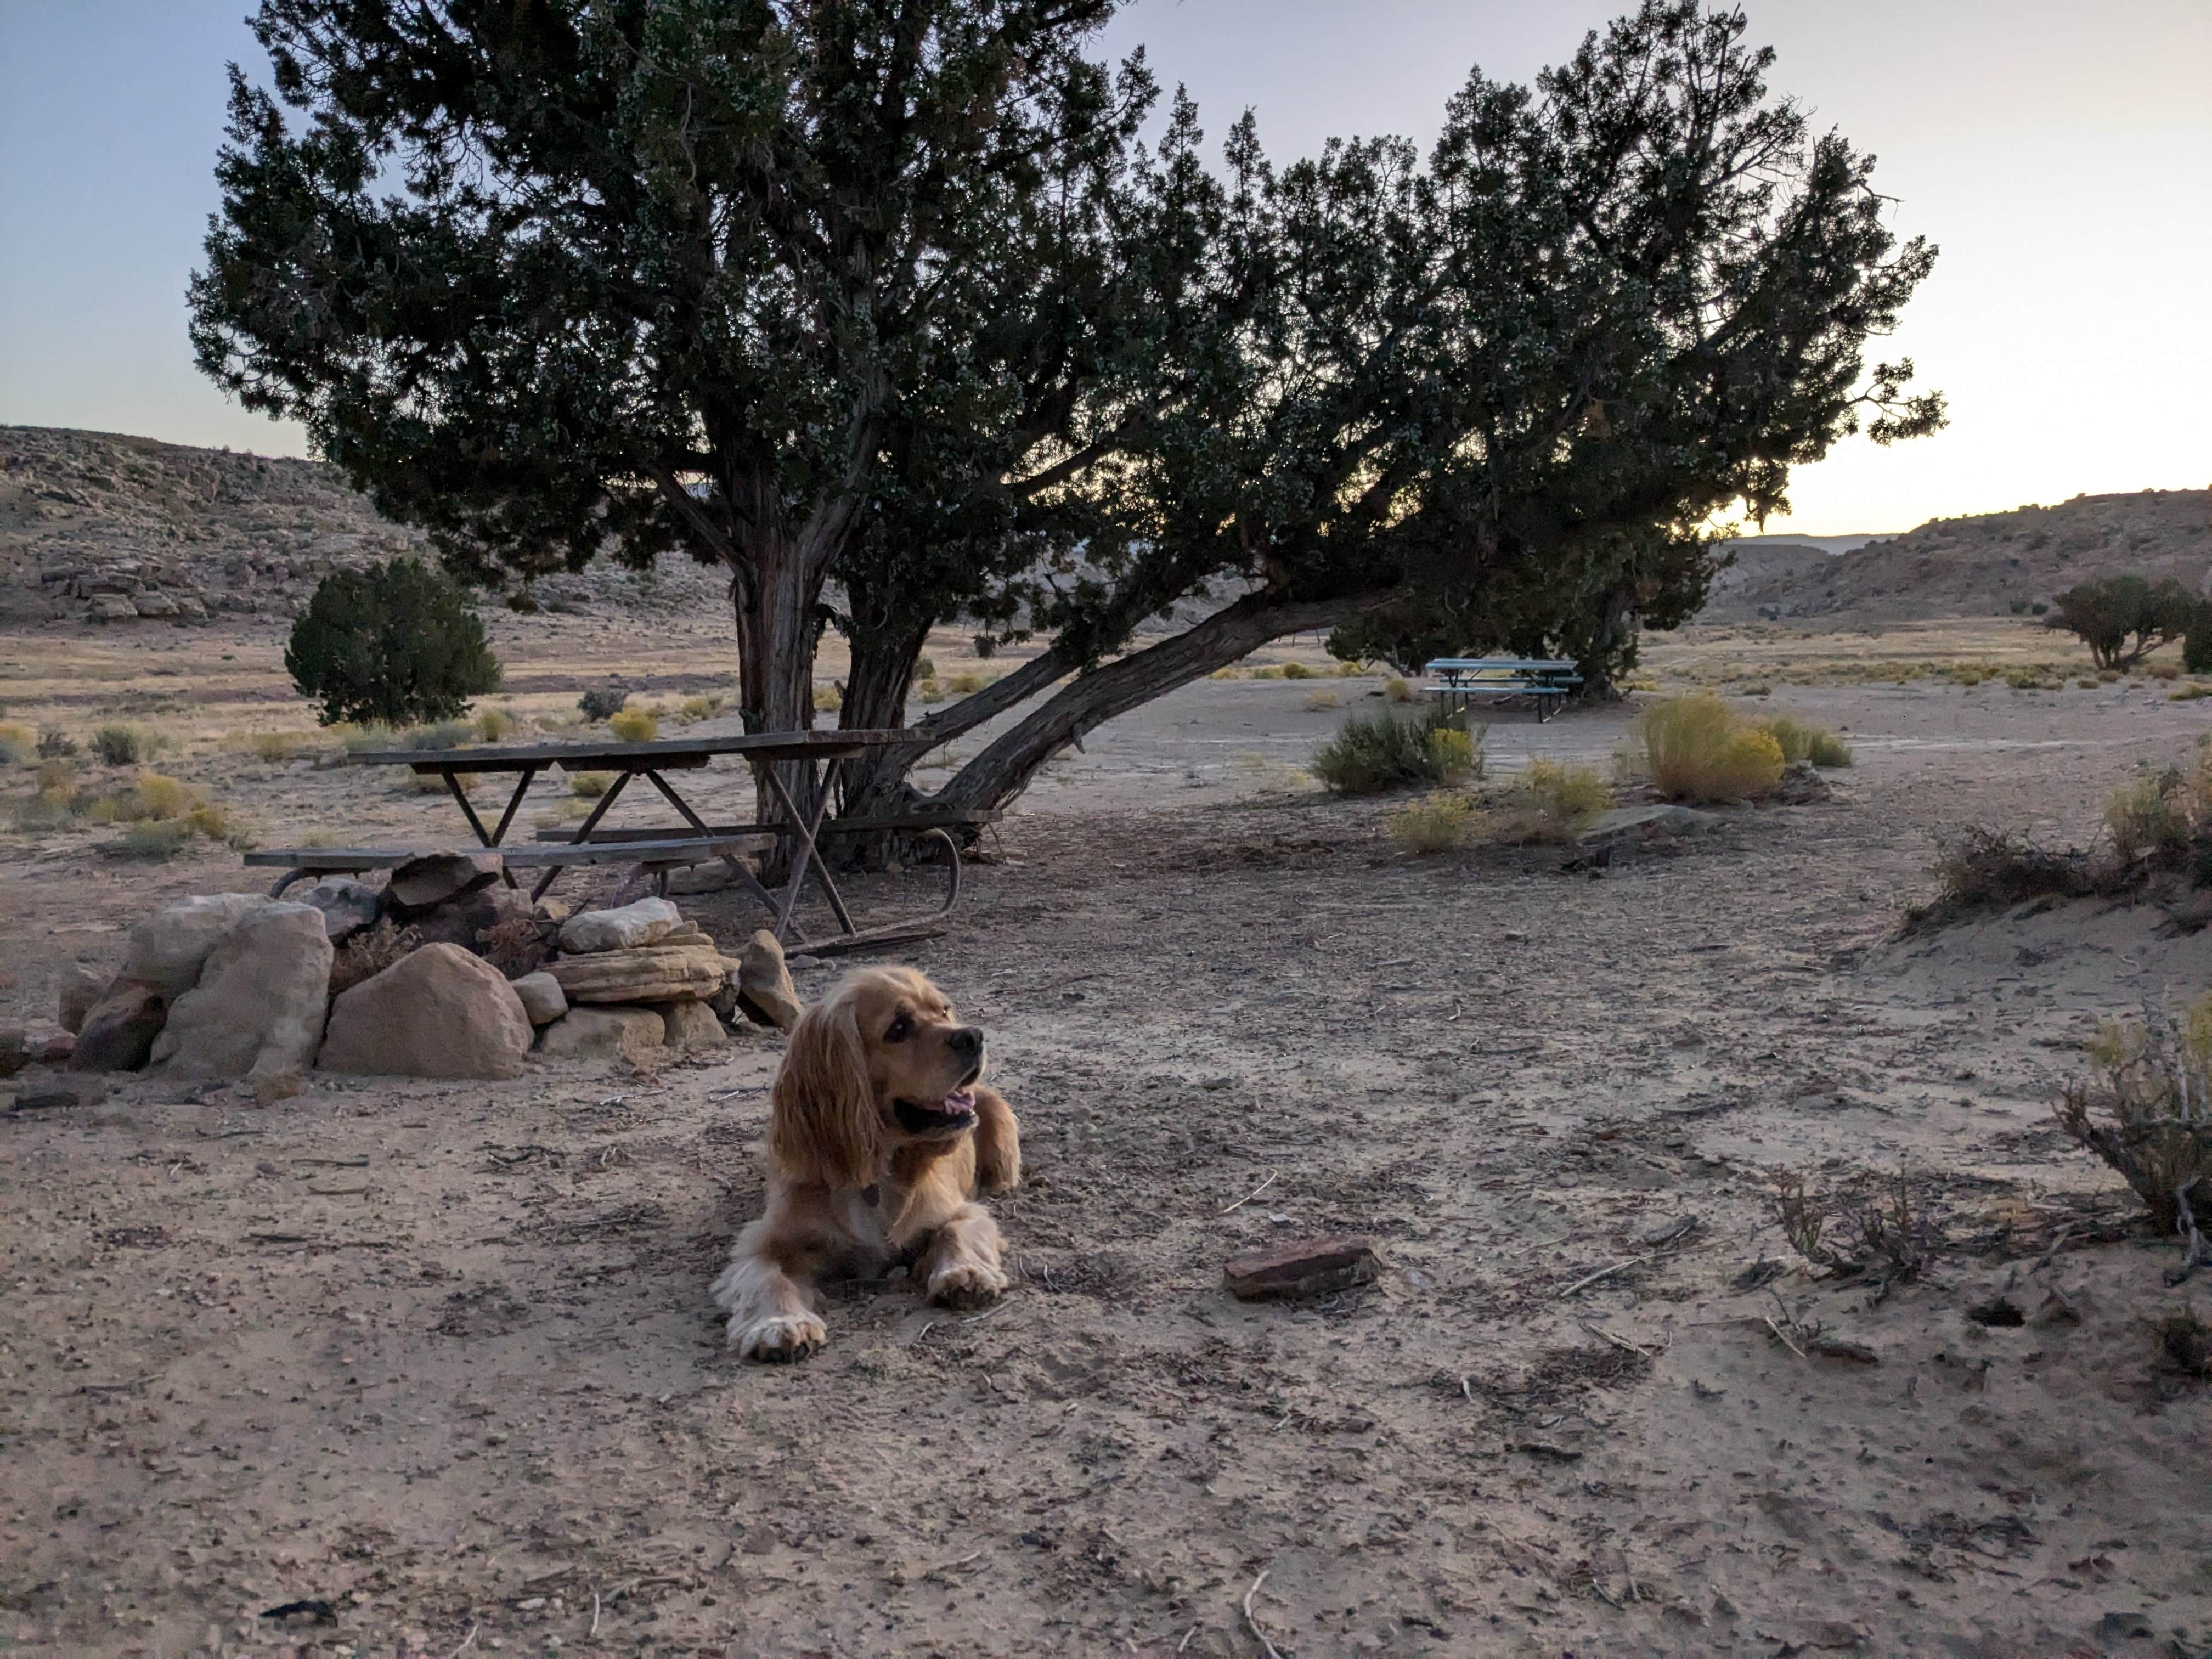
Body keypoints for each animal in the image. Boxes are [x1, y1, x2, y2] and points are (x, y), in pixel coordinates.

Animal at [708, 960, 1017, 1362]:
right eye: (899, 1028)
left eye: (944, 1011)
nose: (974, 1037)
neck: (875, 1173)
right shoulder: (762, 1241)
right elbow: (768, 1278)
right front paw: (780, 1324)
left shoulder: (960, 1210)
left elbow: (955, 1231)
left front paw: (965, 1275)